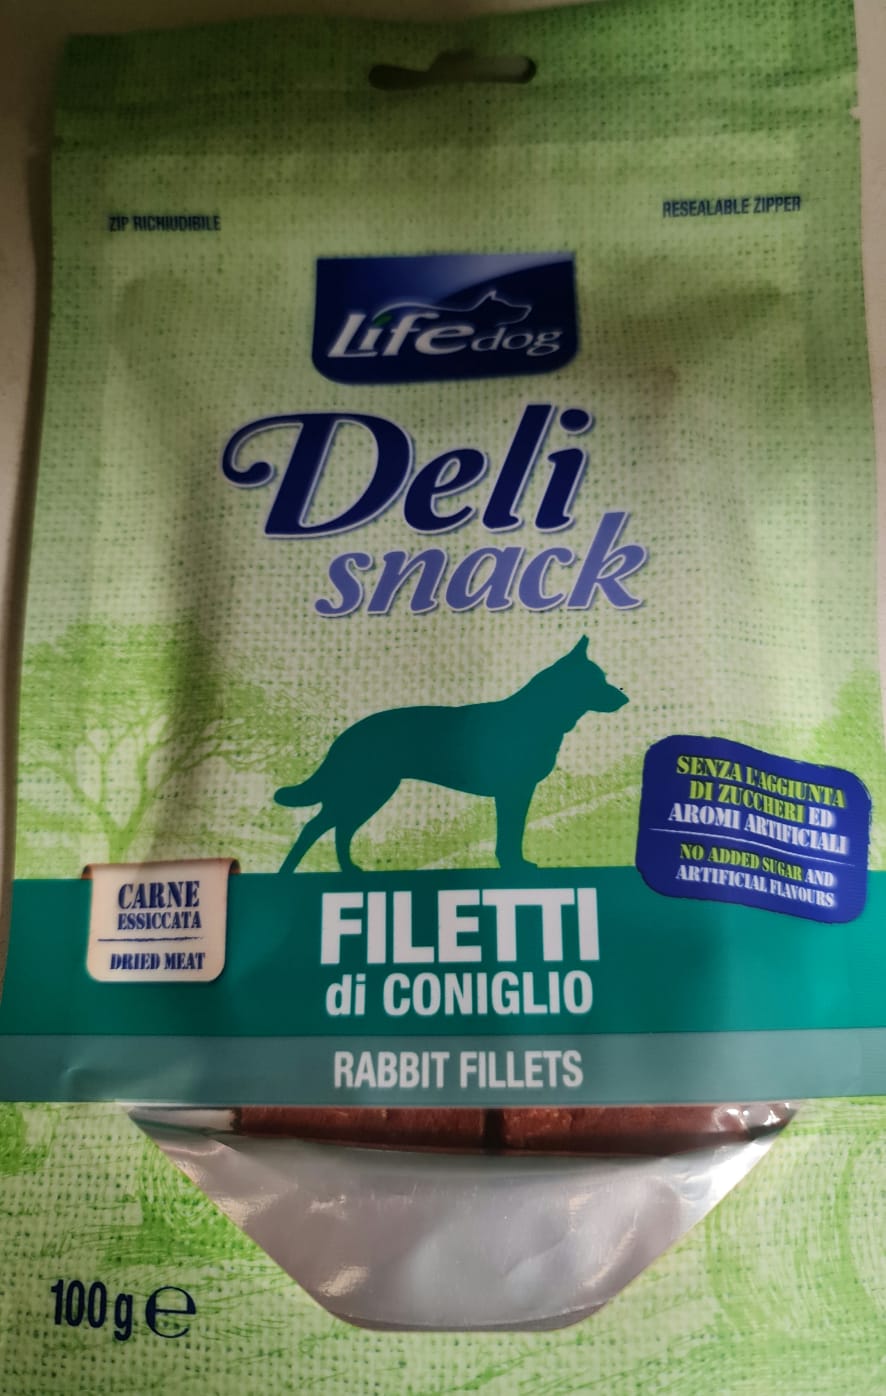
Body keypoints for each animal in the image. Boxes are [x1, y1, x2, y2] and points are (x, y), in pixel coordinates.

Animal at [275, 637, 628, 874]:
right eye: (596, 681)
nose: (625, 698)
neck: (537, 715)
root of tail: (346, 735)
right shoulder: (513, 792)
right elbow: (510, 833)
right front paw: (512, 865)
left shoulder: (518, 792)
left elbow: (512, 832)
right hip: (366, 792)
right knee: (317, 828)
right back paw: (288, 873)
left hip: (364, 793)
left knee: (338, 829)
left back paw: (348, 871)